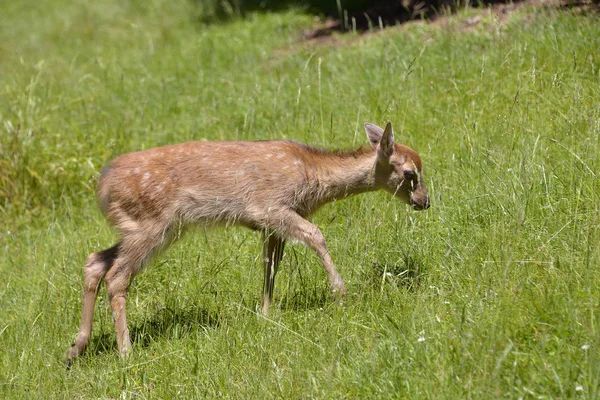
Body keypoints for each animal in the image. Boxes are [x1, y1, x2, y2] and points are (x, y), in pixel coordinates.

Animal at [67, 120, 432, 364]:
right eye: (410, 173)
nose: (425, 202)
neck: (313, 178)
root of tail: (102, 187)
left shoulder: (270, 225)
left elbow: (270, 265)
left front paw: (266, 313)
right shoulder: (271, 207)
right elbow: (316, 236)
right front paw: (341, 293)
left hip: (139, 228)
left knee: (95, 261)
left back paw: (76, 348)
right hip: (150, 224)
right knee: (116, 276)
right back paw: (126, 352)